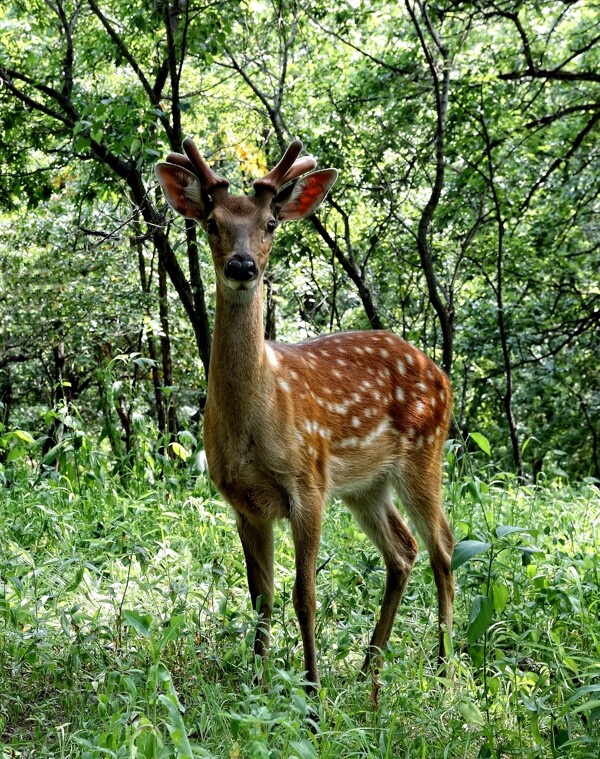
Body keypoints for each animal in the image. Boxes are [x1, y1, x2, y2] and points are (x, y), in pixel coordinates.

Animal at [155, 135, 454, 688]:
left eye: (270, 222)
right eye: (212, 222)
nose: (243, 266)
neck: (258, 419)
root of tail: (441, 374)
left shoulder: (308, 485)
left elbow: (304, 596)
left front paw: (312, 690)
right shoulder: (244, 503)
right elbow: (261, 597)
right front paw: (255, 682)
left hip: (424, 453)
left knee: (443, 545)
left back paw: (444, 666)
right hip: (364, 485)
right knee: (403, 550)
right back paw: (369, 666)